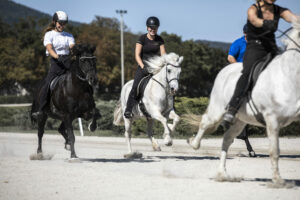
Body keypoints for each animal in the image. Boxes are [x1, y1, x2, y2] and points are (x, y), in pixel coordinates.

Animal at [185, 19, 300, 185]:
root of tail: (225, 69)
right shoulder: (272, 118)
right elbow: (274, 150)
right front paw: (278, 180)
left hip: (240, 120)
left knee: (227, 139)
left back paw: (223, 173)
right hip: (218, 110)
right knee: (206, 122)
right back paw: (194, 143)